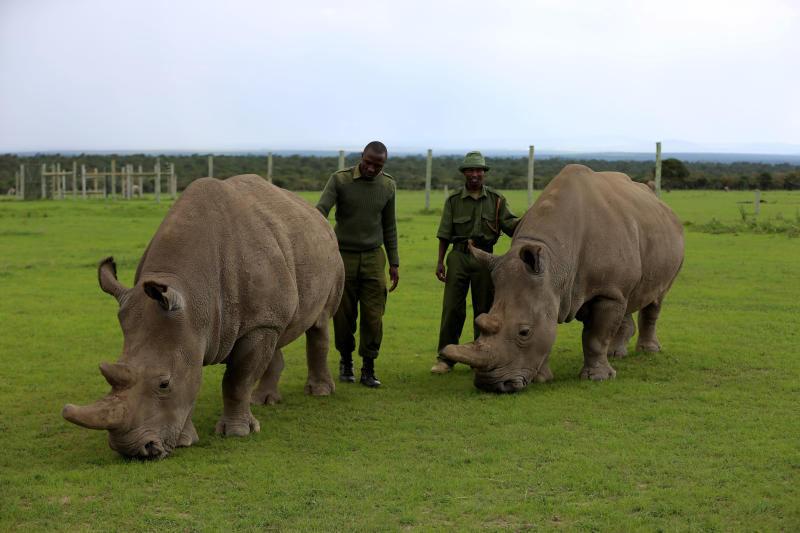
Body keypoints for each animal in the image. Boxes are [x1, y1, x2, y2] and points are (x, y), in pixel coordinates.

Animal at [64, 175, 346, 458]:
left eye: (164, 384)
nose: (134, 450)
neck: (192, 293)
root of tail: (315, 213)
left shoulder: (254, 325)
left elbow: (237, 379)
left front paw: (237, 432)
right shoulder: (194, 329)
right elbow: (191, 379)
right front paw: (184, 441)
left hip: (330, 253)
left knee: (320, 323)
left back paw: (319, 392)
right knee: (277, 336)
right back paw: (263, 401)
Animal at [440, 164, 684, 392]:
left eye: (524, 332)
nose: (489, 385)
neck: (554, 262)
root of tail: (662, 205)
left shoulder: (605, 291)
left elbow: (595, 337)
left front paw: (598, 378)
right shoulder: (549, 287)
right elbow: (548, 330)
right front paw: (541, 379)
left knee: (656, 298)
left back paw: (649, 351)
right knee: (628, 298)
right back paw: (616, 354)